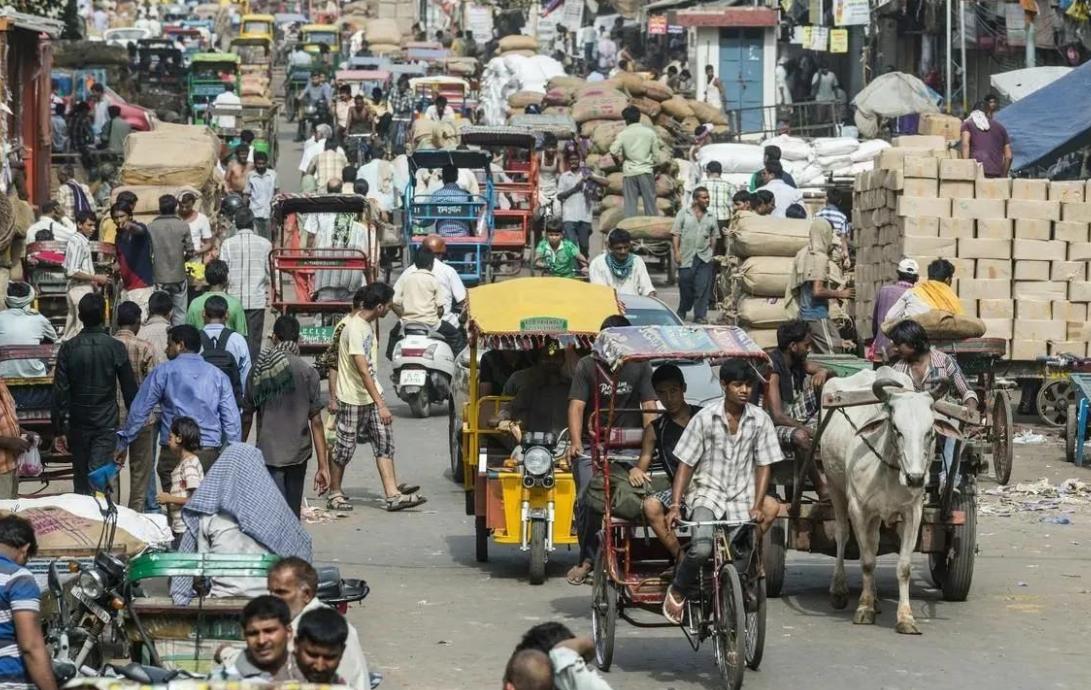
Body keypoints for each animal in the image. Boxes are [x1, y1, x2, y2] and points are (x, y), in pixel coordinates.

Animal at [820, 366, 960, 637]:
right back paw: (839, 589)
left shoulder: (912, 512)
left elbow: (903, 567)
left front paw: (905, 617)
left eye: (930, 431)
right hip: (835, 486)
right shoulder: (859, 509)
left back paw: (874, 598)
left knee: (873, 542)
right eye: (896, 428)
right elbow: (866, 562)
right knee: (842, 534)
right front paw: (864, 609)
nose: (916, 478)